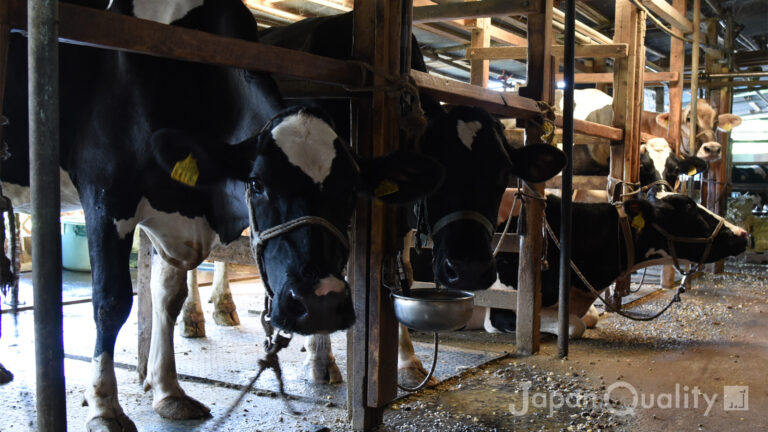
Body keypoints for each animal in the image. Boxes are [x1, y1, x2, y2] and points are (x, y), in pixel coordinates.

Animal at [1, 0, 444, 426]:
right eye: (256, 183)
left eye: (351, 189)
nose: (319, 302)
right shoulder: (106, 192)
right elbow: (111, 301)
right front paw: (105, 407)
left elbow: (168, 297)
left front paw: (168, 393)